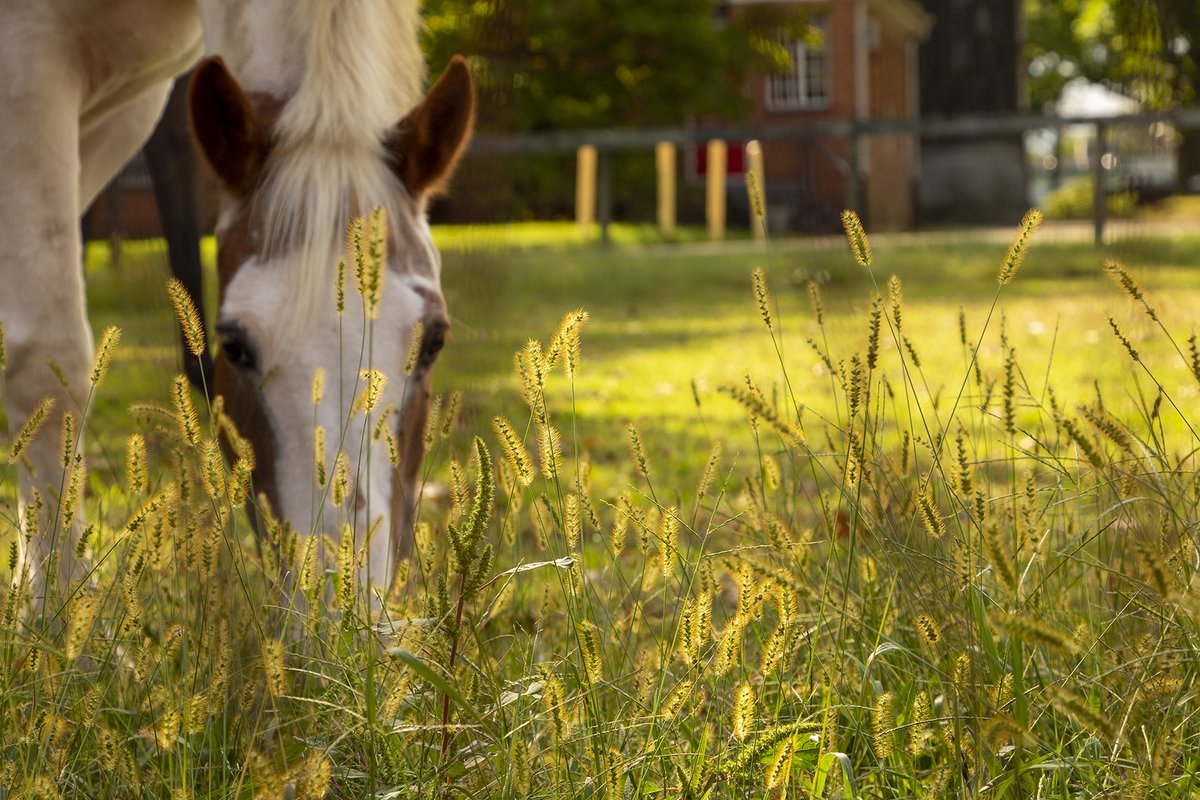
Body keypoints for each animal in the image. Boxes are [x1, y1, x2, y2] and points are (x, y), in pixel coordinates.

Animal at [0, 0, 474, 604]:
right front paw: (55, 613)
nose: (342, 610)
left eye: (433, 342)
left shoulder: (122, 107)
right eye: (234, 347)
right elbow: (49, 367)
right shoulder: (28, 65)